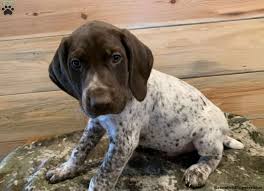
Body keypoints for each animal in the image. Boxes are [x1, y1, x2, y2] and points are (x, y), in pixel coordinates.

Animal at [45, 20, 243, 190]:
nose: (100, 103)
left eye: (116, 58)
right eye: (75, 63)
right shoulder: (95, 124)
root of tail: (223, 132)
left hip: (205, 136)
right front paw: (65, 169)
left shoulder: (124, 141)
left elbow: (103, 174)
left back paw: (198, 170)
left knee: (214, 156)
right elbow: (79, 149)